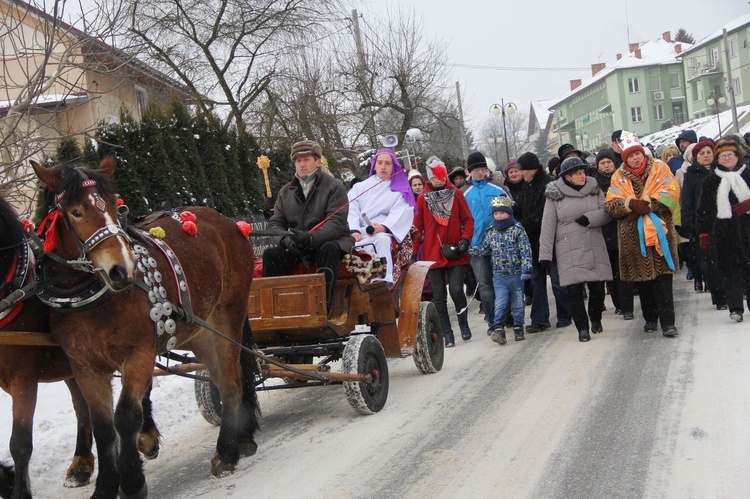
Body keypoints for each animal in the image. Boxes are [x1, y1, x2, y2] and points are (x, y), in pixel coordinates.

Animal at [31, 157, 262, 499]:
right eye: (76, 212)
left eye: (115, 205)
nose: (121, 269)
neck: (88, 299)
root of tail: (230, 223)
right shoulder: (85, 367)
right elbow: (103, 427)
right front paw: (105, 487)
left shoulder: (138, 354)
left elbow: (126, 416)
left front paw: (131, 482)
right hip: (200, 332)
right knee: (222, 379)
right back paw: (241, 439)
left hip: (227, 316)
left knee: (232, 380)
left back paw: (226, 452)